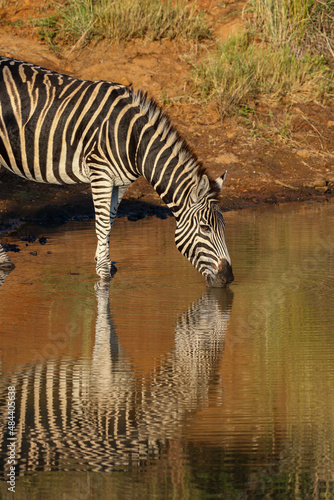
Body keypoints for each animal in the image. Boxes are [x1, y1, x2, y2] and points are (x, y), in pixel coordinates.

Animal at [0, 55, 234, 286]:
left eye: (224, 227)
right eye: (205, 228)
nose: (228, 278)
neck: (135, 141)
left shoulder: (120, 182)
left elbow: (111, 220)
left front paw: (102, 260)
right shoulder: (100, 172)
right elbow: (103, 223)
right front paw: (103, 275)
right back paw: (5, 261)